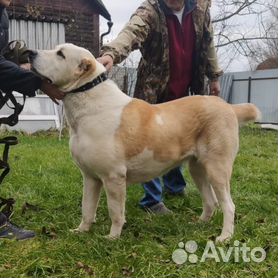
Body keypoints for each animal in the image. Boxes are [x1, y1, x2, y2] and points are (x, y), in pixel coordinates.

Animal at [30, 43, 260, 241]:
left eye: (60, 54)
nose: (30, 53)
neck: (88, 99)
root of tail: (228, 106)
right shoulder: (90, 177)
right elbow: (87, 208)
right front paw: (81, 231)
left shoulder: (113, 177)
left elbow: (115, 211)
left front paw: (112, 238)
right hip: (198, 169)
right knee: (211, 201)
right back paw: (199, 224)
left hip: (217, 168)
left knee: (228, 205)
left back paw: (225, 237)